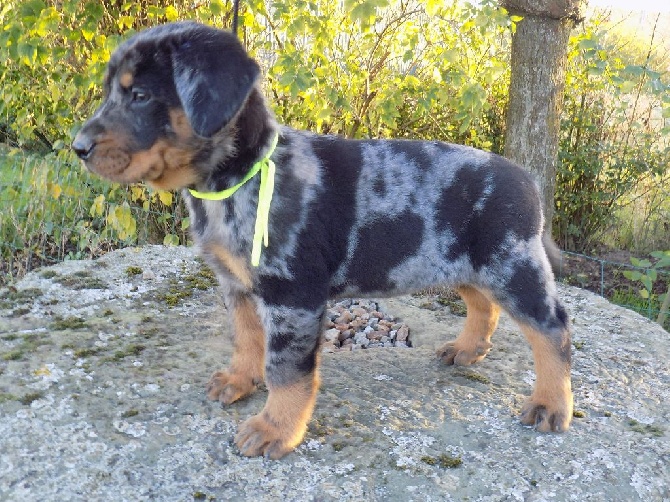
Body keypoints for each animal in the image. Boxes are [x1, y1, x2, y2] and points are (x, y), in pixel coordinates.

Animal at [75, 20, 576, 458]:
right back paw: (468, 349)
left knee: (553, 329)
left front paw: (274, 429)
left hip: (511, 266)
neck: (238, 179)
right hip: (463, 262)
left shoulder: (292, 296)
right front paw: (239, 381)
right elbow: (247, 341)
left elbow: (285, 370)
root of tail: (528, 181)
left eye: (140, 95)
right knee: (483, 305)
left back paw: (551, 404)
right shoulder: (238, 286)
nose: (78, 148)